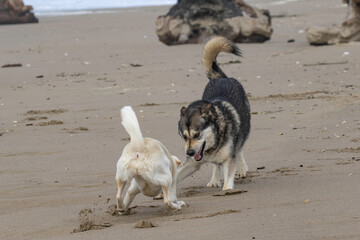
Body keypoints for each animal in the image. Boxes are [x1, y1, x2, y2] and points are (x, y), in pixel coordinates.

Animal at [176, 35, 250, 190]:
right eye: (184, 136)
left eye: (197, 134)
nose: (189, 152)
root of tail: (220, 78)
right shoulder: (192, 162)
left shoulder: (229, 157)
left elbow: (229, 174)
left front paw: (227, 189)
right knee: (216, 165)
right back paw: (214, 180)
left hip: (244, 129)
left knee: (239, 147)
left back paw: (242, 168)